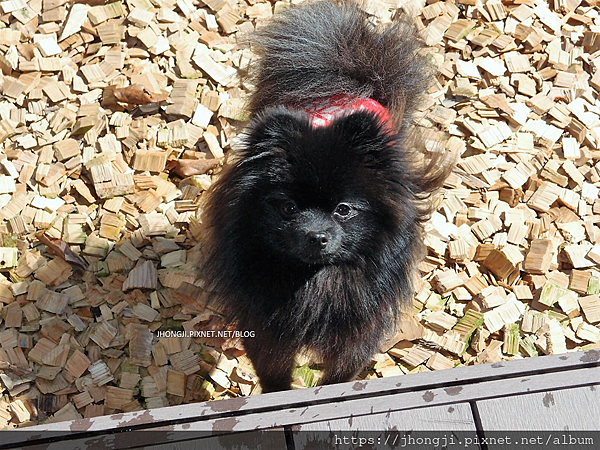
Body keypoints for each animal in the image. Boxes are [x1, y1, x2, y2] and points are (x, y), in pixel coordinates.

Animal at [202, 0, 450, 390]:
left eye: (344, 209)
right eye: (288, 208)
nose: (316, 235)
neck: (313, 279)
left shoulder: (359, 330)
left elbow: (343, 372)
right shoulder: (267, 327)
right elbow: (273, 371)